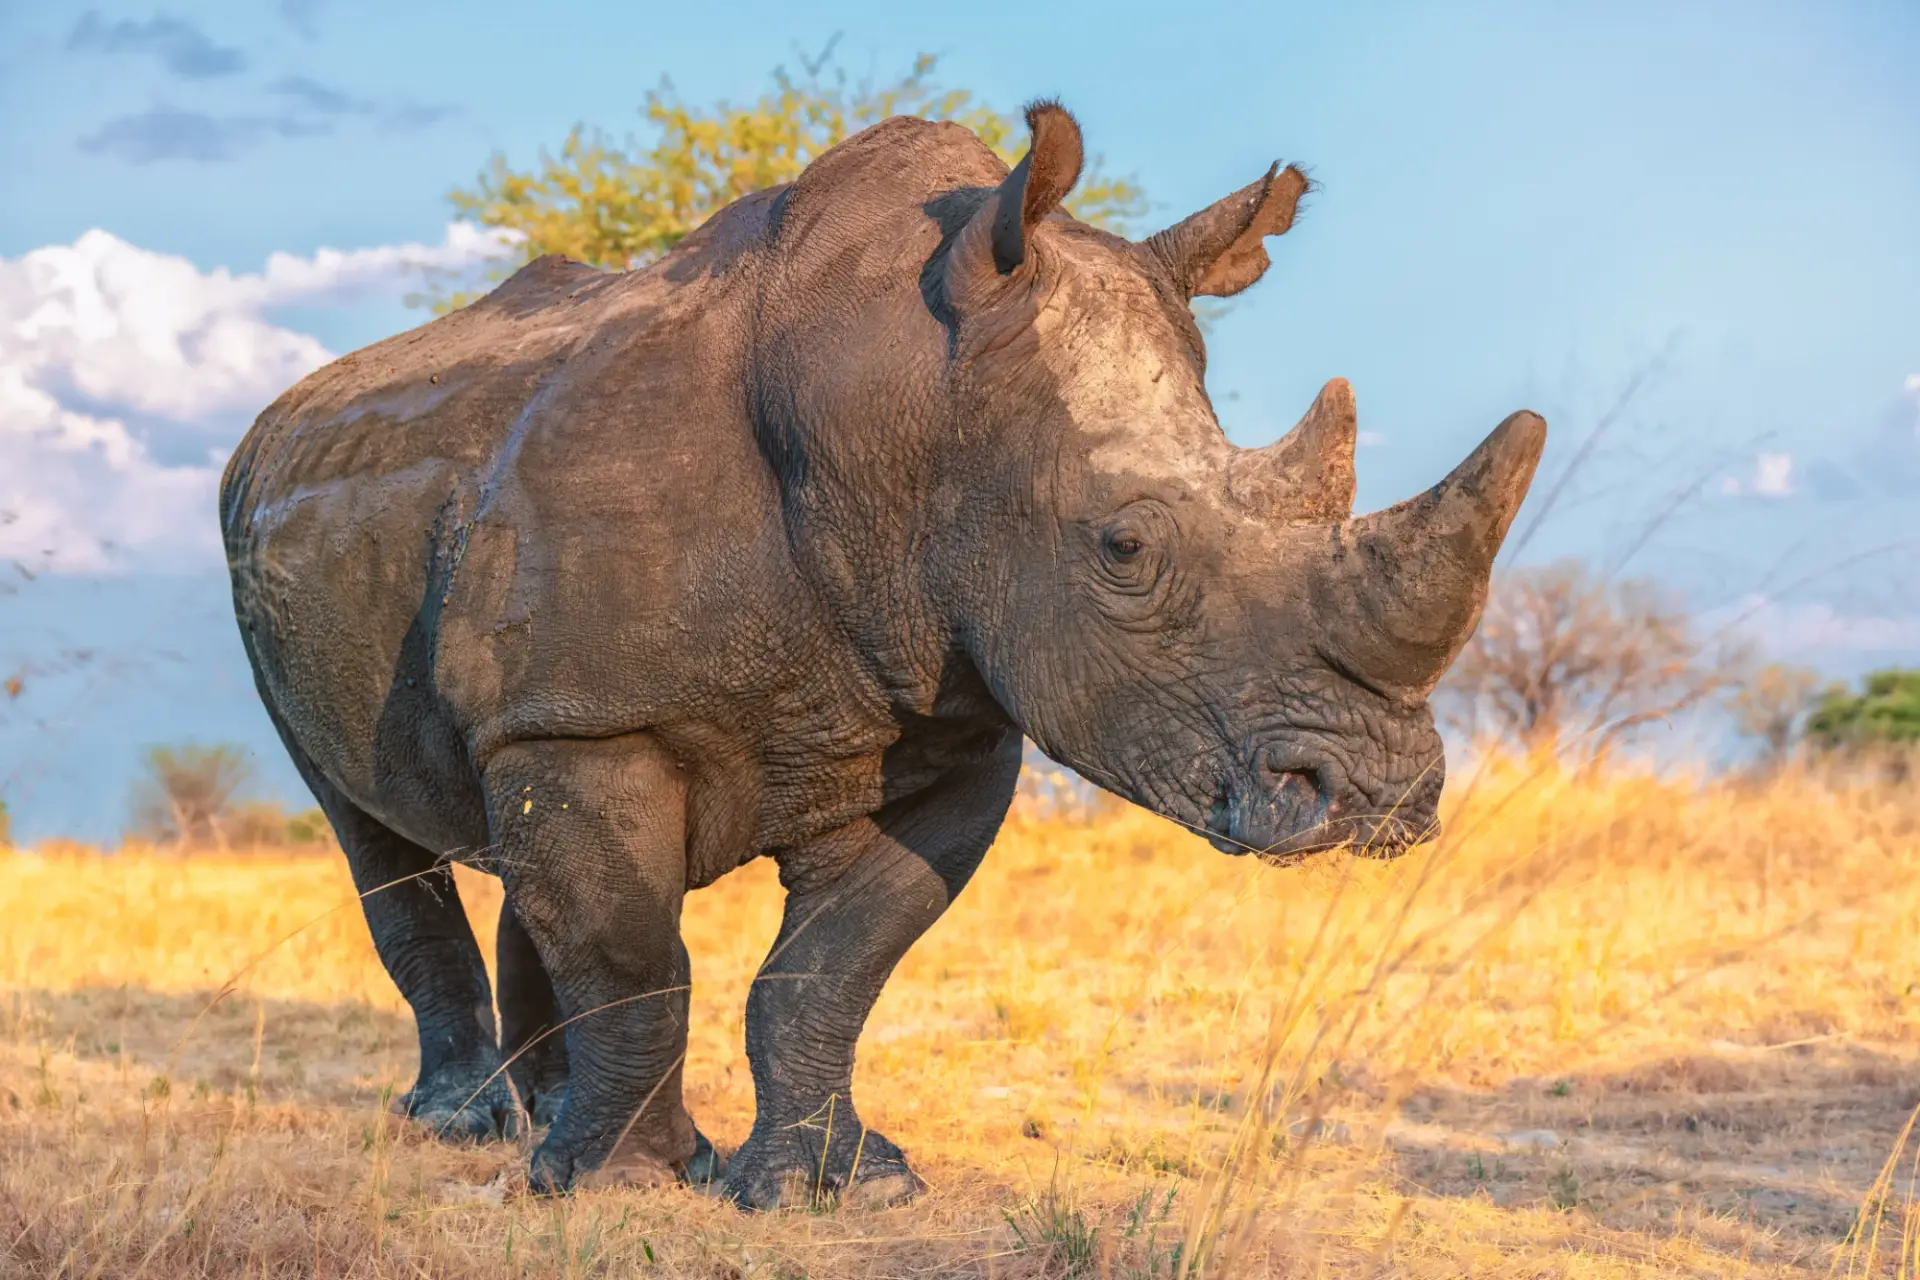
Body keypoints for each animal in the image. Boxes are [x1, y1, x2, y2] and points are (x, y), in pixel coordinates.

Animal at [220, 102, 1544, 1208]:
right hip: (259, 537)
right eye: (1123, 546)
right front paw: (624, 1187)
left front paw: (842, 1187)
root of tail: (279, 421)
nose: (1378, 797)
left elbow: (829, 969)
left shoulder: (953, 718)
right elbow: (633, 956)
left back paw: (545, 1118)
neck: (909, 406)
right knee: (370, 827)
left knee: (512, 844)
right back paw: (470, 1128)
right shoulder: (587, 710)